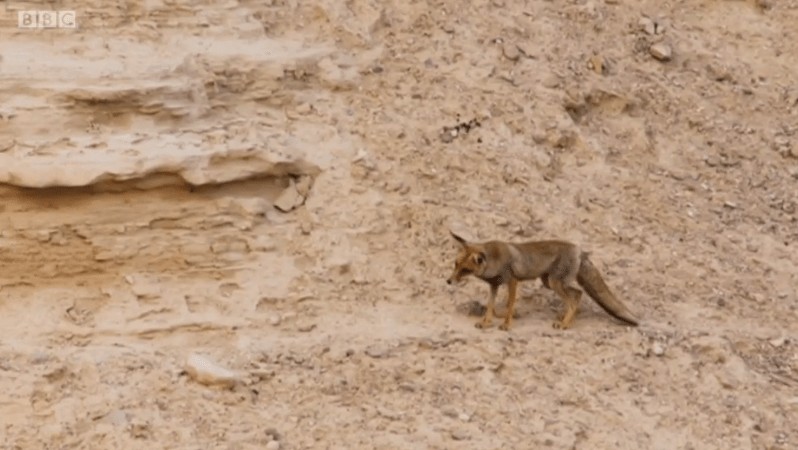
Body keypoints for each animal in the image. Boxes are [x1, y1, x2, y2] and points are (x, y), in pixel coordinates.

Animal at [446, 232, 640, 330]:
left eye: (465, 270)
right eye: (455, 265)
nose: (448, 281)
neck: (495, 260)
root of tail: (580, 250)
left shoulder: (512, 281)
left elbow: (509, 306)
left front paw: (507, 325)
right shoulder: (494, 285)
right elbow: (490, 307)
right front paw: (485, 323)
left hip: (554, 283)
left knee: (574, 299)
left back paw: (564, 324)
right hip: (550, 283)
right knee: (577, 294)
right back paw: (568, 319)